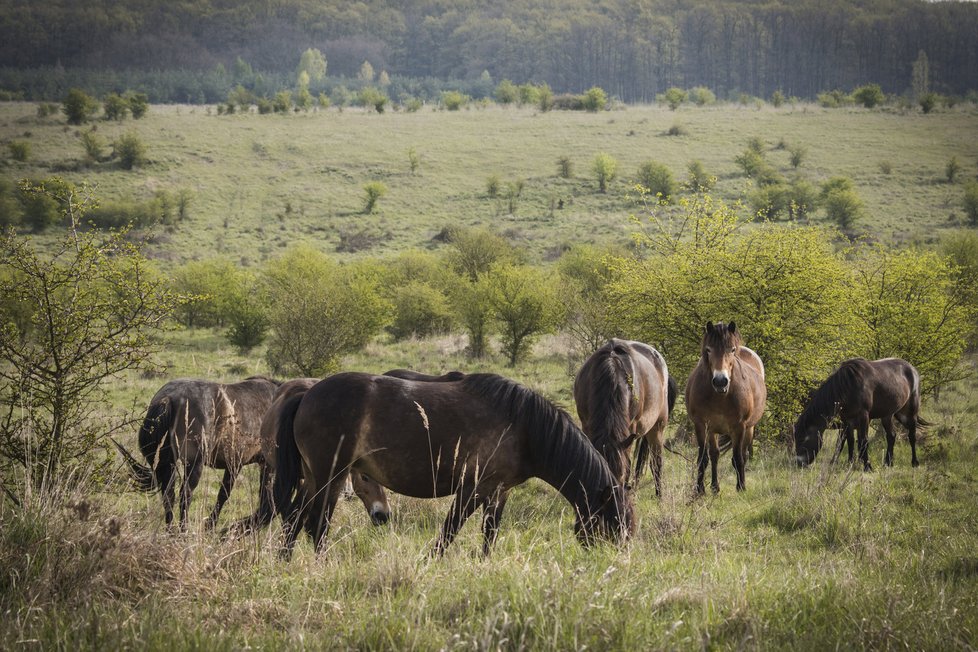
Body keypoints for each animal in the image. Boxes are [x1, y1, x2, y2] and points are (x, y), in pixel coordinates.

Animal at [117, 376, 282, 528]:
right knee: (185, 496)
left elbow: (227, 494)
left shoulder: (236, 464)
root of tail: (169, 398)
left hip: (169, 462)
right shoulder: (255, 465)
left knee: (168, 494)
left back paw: (170, 530)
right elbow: (236, 496)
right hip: (195, 464)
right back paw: (183, 531)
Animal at [272, 372, 632, 556]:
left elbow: (489, 536)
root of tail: (307, 394)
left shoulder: (498, 493)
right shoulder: (472, 490)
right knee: (315, 523)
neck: (524, 428)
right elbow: (449, 532)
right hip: (329, 476)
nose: (612, 566)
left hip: (315, 478)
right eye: (612, 526)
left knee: (296, 519)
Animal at [568, 342, 676, 494]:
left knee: (656, 463)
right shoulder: (586, 425)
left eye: (620, 476)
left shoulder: (630, 430)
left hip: (657, 428)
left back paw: (659, 496)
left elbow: (629, 466)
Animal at [684, 320, 768, 494]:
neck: (720, 396)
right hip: (713, 430)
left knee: (743, 454)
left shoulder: (739, 427)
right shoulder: (701, 425)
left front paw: (741, 487)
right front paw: (700, 489)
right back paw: (715, 487)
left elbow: (737, 458)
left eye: (732, 350)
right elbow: (703, 458)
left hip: (749, 428)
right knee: (715, 454)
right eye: (708, 349)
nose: (720, 381)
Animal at [788, 356, 928, 468]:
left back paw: (914, 462)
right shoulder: (846, 420)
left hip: (909, 413)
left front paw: (867, 466)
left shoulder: (863, 416)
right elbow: (850, 441)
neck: (848, 385)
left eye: (804, 439)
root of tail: (912, 368)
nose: (798, 463)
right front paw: (850, 463)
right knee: (891, 436)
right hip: (888, 415)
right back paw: (888, 463)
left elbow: (862, 441)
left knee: (912, 435)